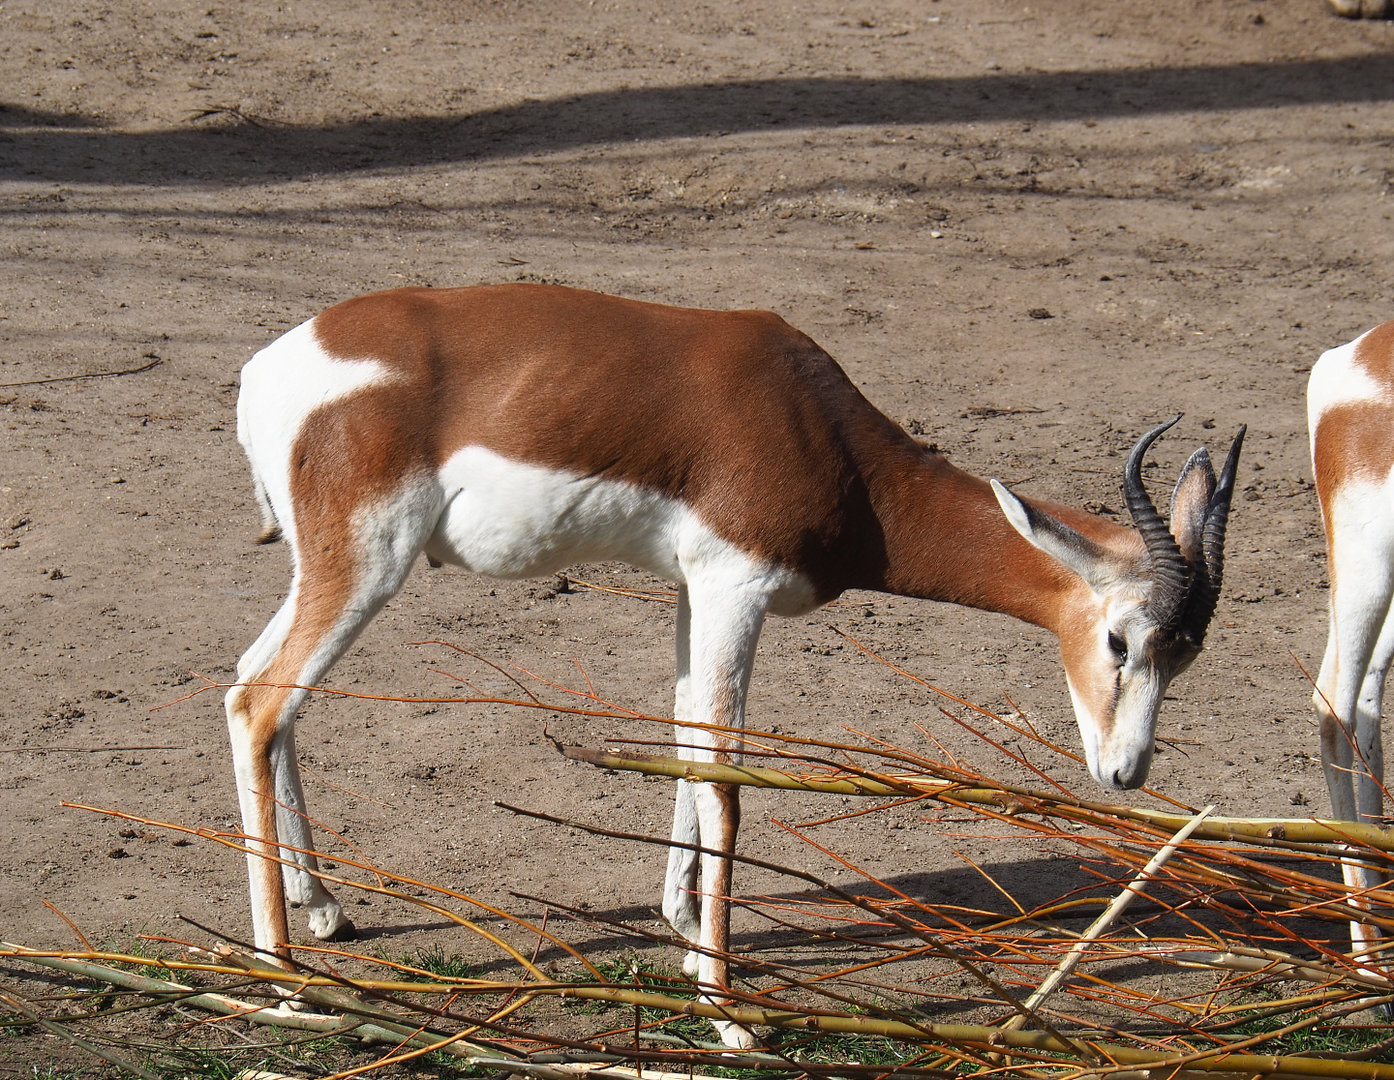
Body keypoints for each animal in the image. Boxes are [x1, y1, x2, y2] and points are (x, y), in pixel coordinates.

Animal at [228, 282, 1243, 1047]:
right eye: (1120, 640)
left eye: (1187, 655)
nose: (1124, 771)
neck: (818, 430)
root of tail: (270, 370)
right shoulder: (735, 586)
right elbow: (727, 778)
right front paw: (729, 1013)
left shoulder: (694, 591)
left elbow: (684, 741)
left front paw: (683, 934)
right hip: (368, 563)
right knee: (258, 702)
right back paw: (285, 978)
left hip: (330, 567)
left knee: (261, 692)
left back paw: (324, 911)